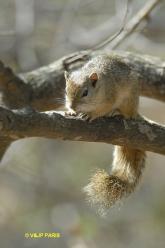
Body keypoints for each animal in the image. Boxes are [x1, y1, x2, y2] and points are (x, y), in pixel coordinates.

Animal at [64, 55, 146, 212]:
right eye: (66, 91)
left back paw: (117, 113)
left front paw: (92, 114)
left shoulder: (110, 97)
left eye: (85, 93)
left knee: (127, 114)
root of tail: (136, 110)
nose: (72, 106)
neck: (100, 87)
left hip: (129, 101)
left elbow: (102, 109)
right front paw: (70, 112)